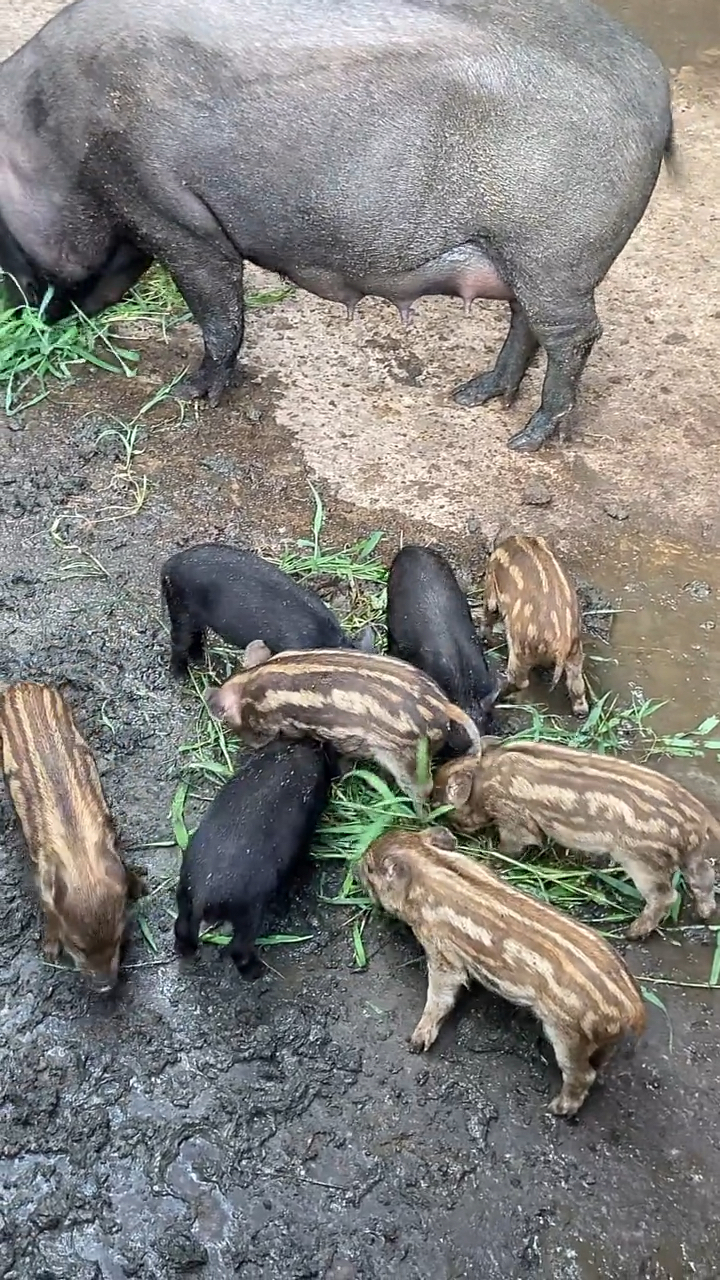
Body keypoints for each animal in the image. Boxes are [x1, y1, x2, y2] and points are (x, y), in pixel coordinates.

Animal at [0, 0, 671, 455]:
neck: (50, 143)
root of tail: (655, 90)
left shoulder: (169, 213)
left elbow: (219, 306)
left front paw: (194, 393)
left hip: (554, 252)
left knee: (576, 335)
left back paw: (526, 439)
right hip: (528, 257)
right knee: (527, 323)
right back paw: (472, 395)